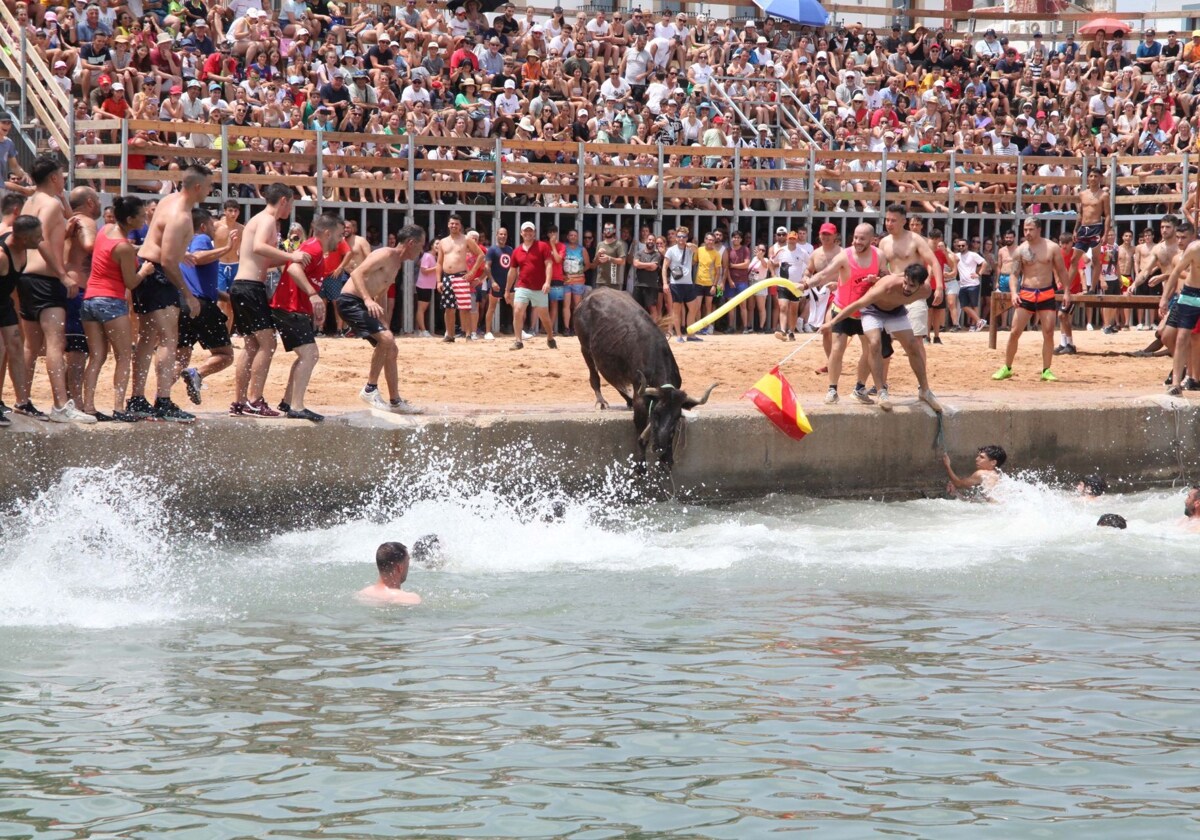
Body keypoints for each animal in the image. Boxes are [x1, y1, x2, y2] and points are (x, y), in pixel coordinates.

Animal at [568, 289, 710, 470]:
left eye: (677, 417)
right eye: (656, 413)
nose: (660, 446)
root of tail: (590, 294)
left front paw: (667, 459)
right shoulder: (641, 399)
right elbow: (641, 436)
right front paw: (640, 466)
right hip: (585, 348)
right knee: (595, 376)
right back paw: (601, 401)